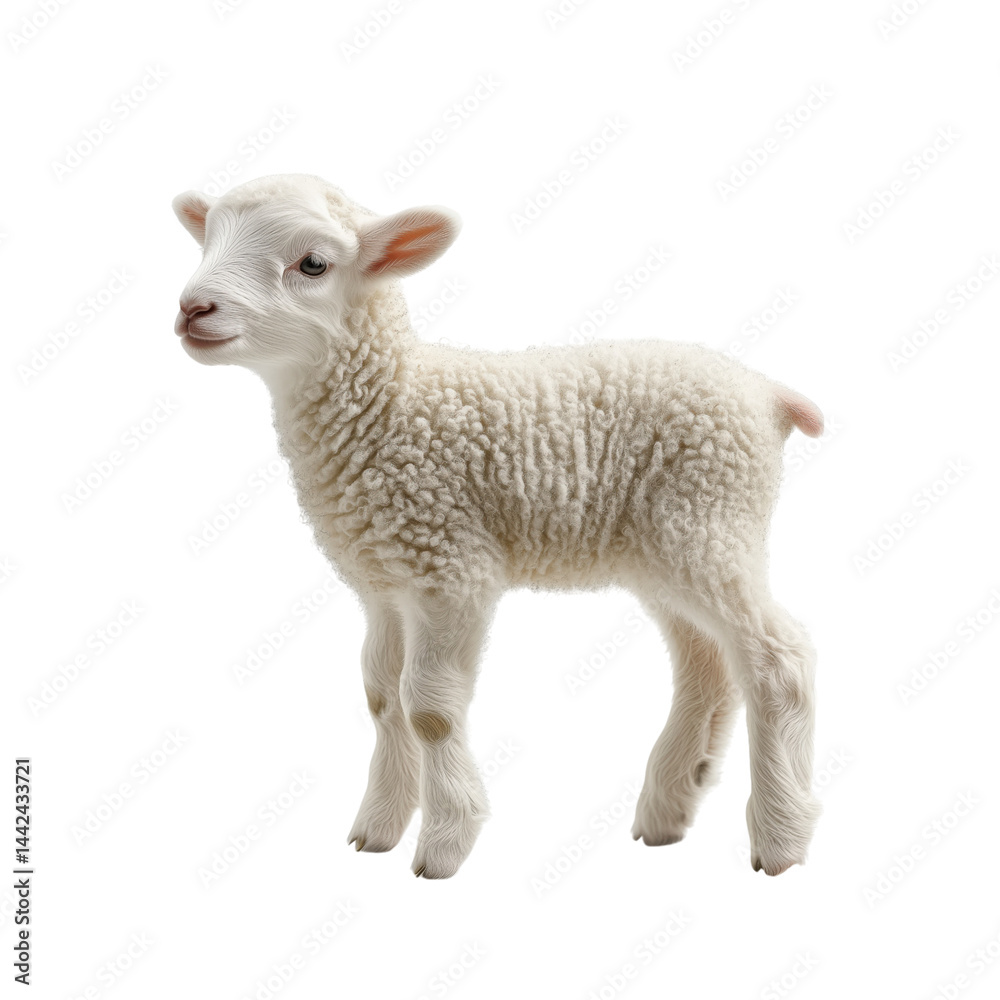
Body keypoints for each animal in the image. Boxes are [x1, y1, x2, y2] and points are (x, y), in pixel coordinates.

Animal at [172, 173, 823, 879]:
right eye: (206, 242)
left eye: (312, 264)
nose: (192, 309)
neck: (392, 403)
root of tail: (767, 394)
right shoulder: (382, 585)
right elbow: (381, 698)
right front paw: (377, 829)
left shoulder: (449, 568)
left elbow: (428, 708)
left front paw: (443, 843)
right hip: (667, 549)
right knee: (705, 663)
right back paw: (667, 808)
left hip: (712, 518)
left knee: (778, 658)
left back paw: (781, 836)